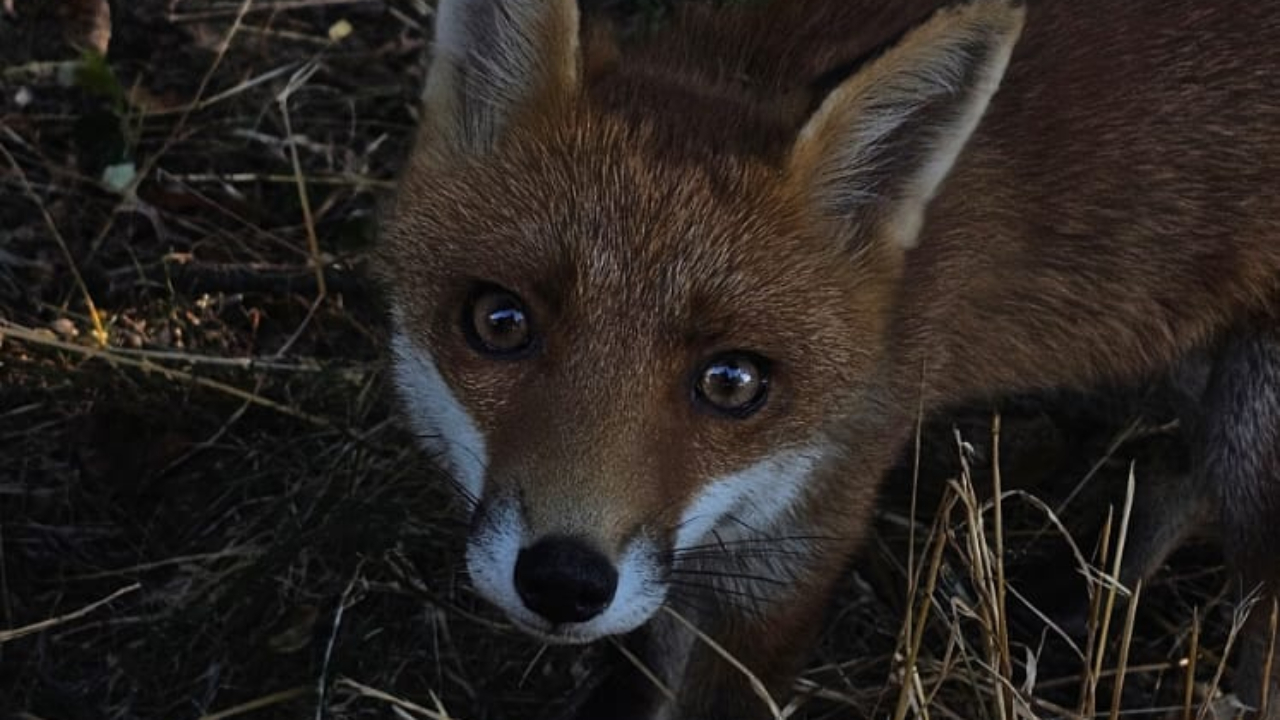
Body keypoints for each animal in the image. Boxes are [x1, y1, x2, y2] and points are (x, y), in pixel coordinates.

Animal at [376, 0, 1280, 717]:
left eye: (733, 381)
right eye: (500, 322)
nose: (564, 580)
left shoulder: (798, 551)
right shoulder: (683, 571)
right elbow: (637, 673)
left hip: (1254, 443)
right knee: (1178, 469)